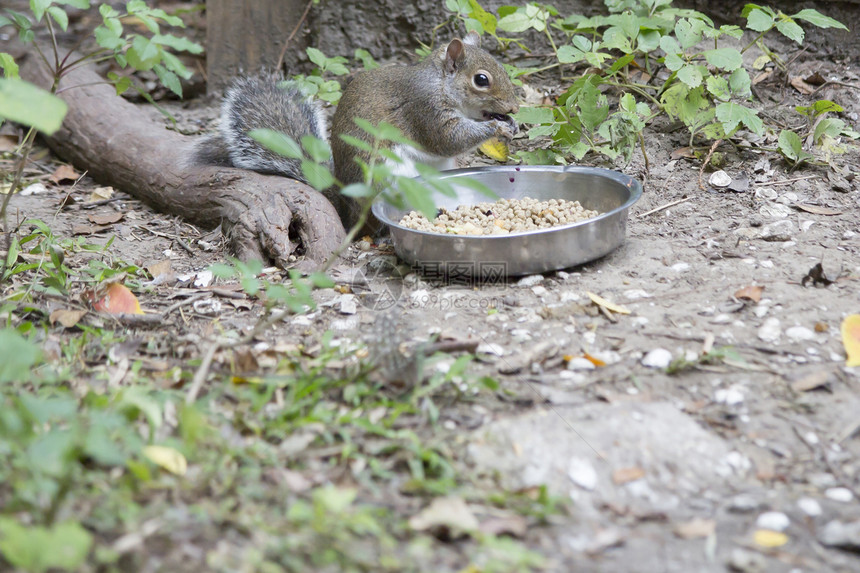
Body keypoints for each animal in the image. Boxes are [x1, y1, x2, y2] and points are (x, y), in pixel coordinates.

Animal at [195, 31, 516, 226]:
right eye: (481, 80)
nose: (513, 107)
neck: (440, 83)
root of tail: (348, 210)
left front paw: (509, 125)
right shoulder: (424, 108)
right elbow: (448, 139)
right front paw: (494, 128)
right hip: (386, 174)